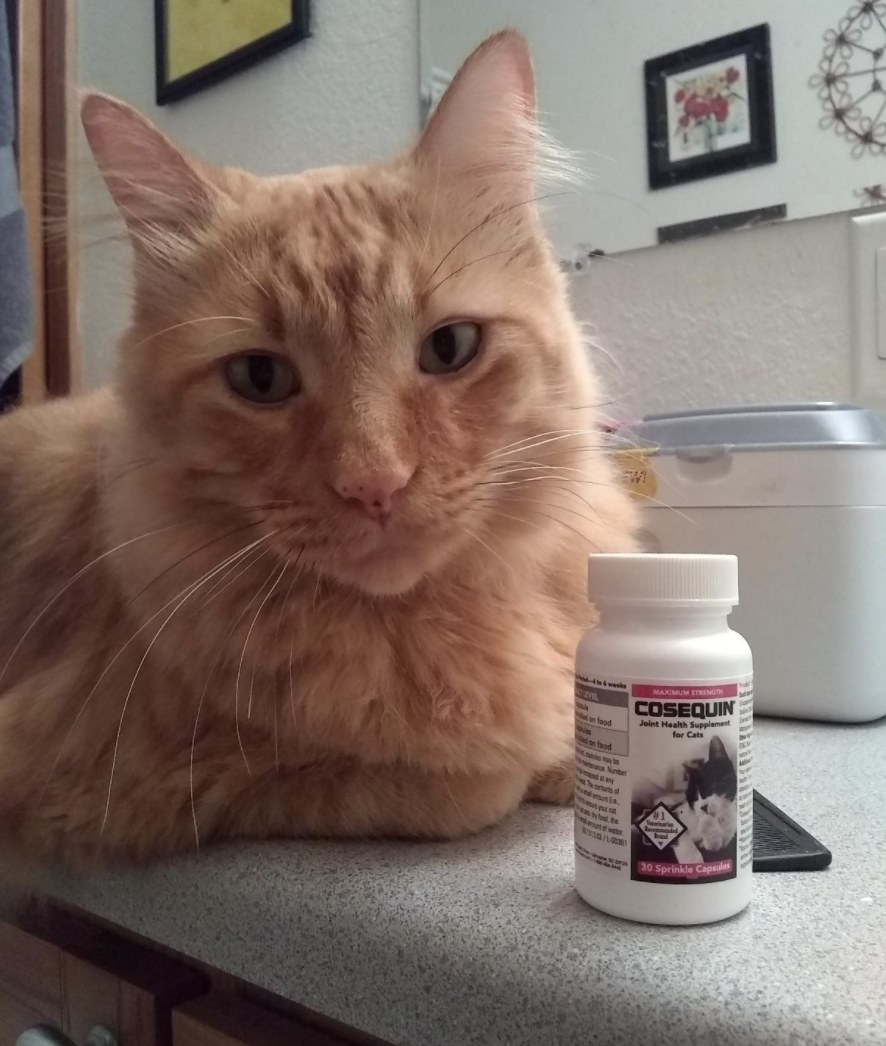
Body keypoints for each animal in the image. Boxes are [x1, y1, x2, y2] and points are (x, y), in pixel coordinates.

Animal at [0, 34, 635, 866]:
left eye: (451, 348)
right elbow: (465, 783)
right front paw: (530, 763)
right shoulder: (110, 782)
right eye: (260, 378)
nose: (376, 486)